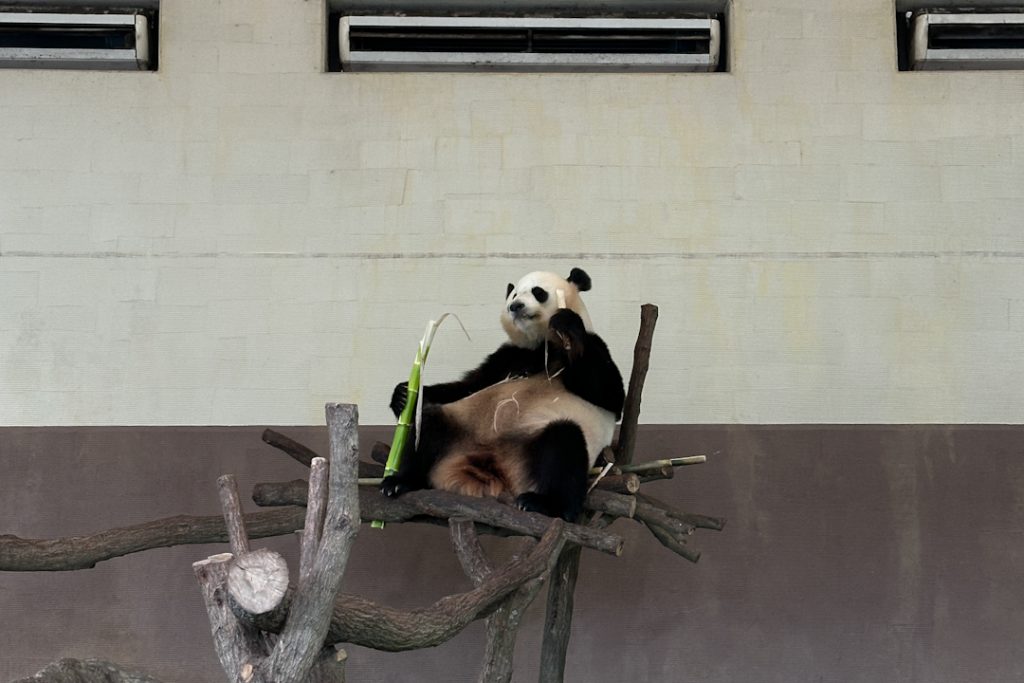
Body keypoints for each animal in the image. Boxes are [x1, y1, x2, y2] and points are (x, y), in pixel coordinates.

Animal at [380, 267, 625, 521]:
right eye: (514, 294)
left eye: (538, 292)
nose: (515, 306)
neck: (542, 344)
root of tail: (494, 467)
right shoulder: (508, 356)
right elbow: (469, 384)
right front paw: (402, 395)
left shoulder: (591, 347)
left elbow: (610, 393)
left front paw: (566, 322)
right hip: (461, 426)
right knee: (429, 424)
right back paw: (400, 482)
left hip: (530, 445)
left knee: (564, 441)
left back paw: (547, 504)